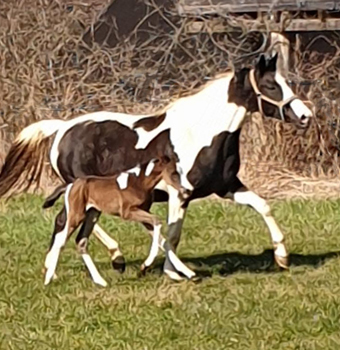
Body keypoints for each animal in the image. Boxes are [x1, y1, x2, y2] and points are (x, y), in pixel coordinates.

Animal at [0, 52, 314, 282]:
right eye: (272, 86)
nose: (305, 116)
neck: (203, 132)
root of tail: (62, 128)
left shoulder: (226, 187)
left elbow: (263, 206)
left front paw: (282, 258)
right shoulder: (180, 193)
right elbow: (173, 233)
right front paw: (171, 273)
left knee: (68, 223)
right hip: (84, 190)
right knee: (73, 223)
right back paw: (116, 258)